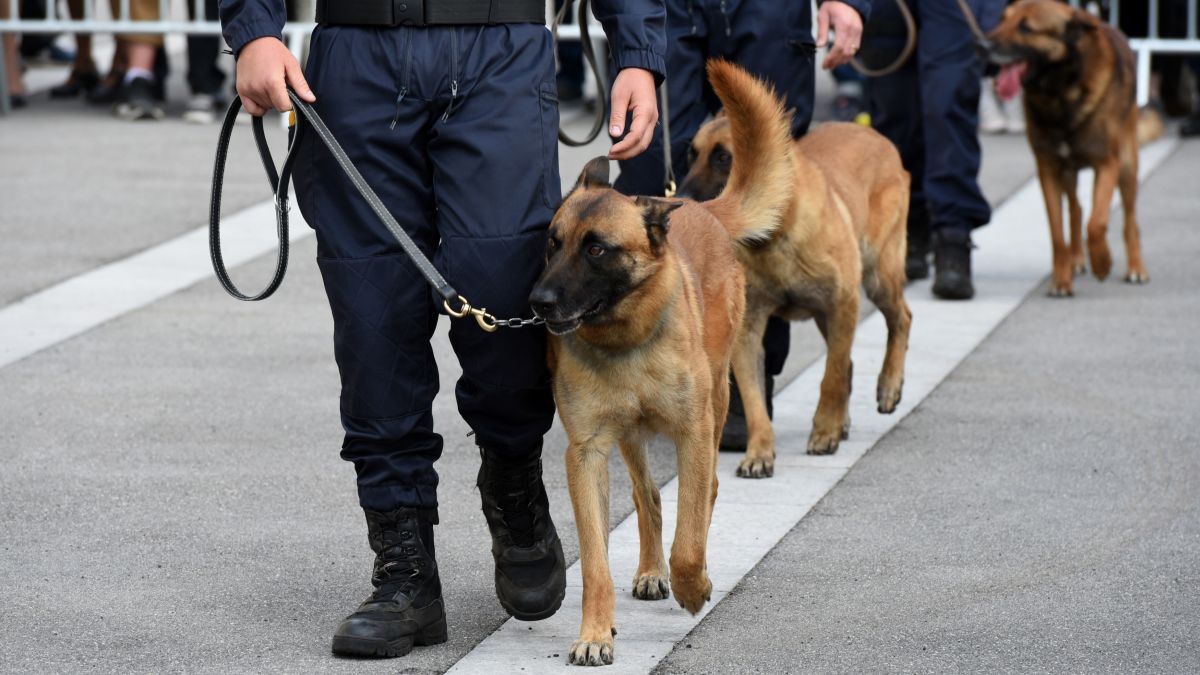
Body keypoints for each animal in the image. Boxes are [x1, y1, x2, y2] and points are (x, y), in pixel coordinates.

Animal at [528, 61, 796, 662]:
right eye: (552, 243)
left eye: (596, 249)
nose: (538, 302)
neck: (625, 339)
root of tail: (699, 207)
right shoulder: (586, 454)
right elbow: (596, 564)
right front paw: (594, 633)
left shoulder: (693, 433)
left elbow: (690, 539)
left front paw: (694, 587)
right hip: (630, 436)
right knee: (647, 495)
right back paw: (651, 570)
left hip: (717, 398)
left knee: (704, 495)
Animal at [676, 63, 907, 475]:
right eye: (692, 155)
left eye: (724, 158)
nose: (678, 201)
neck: (775, 237)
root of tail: (870, 131)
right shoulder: (748, 332)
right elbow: (755, 400)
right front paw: (759, 452)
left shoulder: (843, 305)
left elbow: (830, 377)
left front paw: (824, 432)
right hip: (828, 314)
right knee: (848, 361)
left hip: (878, 278)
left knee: (900, 320)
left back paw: (888, 385)